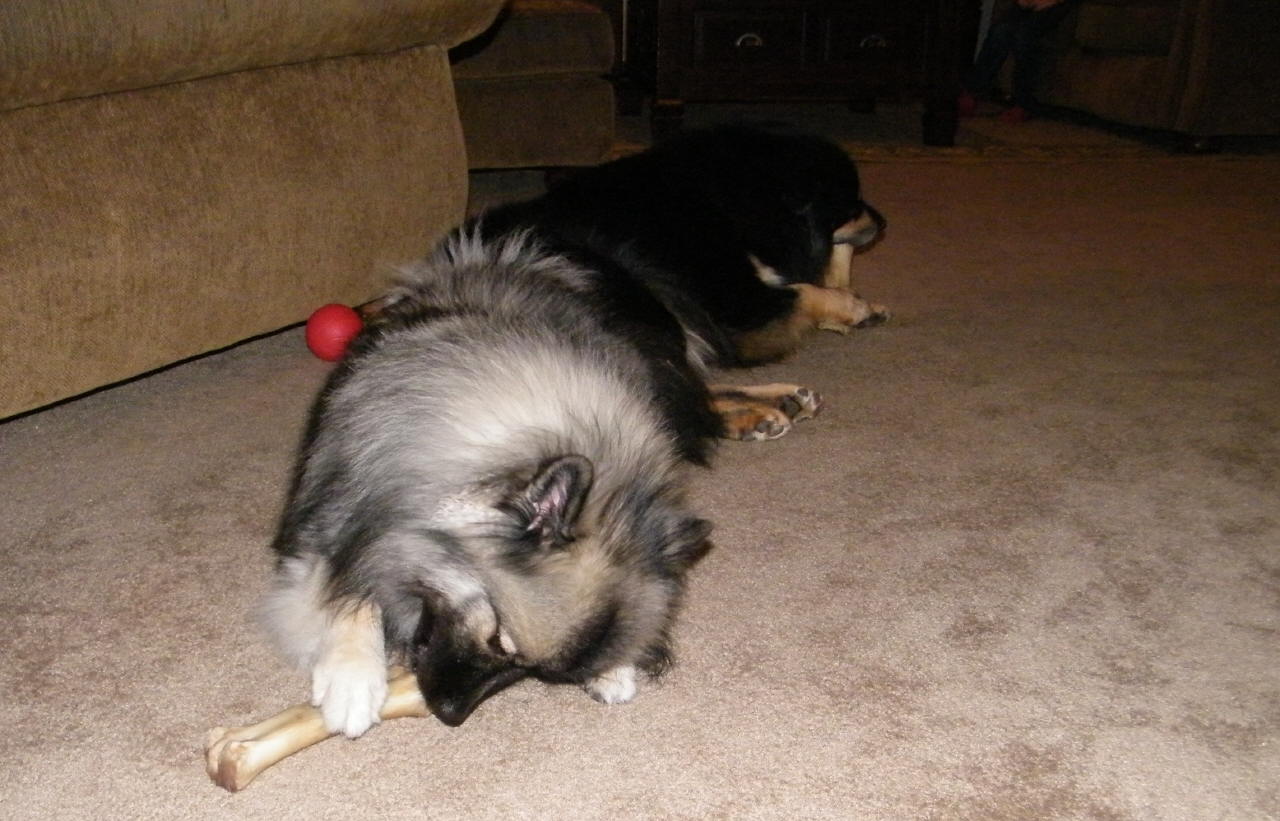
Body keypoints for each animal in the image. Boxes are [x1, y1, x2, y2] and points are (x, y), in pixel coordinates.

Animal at [262, 126, 885, 735]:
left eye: (529, 668)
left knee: (696, 392)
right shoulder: (331, 511)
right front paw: (351, 677)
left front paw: (616, 667)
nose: (449, 714)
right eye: (499, 638)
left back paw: (776, 401)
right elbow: (346, 585)